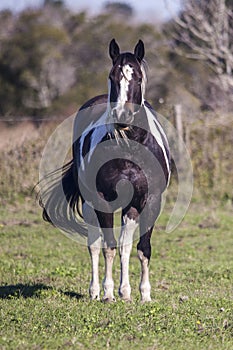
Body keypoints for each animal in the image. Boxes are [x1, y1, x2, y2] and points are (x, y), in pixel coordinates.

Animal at [38, 39, 171, 302]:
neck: (130, 148)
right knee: (95, 245)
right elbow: (108, 246)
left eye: (137, 76)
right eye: (112, 76)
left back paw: (126, 292)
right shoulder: (103, 200)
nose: (122, 115)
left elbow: (142, 249)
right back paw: (96, 291)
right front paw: (109, 292)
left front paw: (143, 295)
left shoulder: (150, 200)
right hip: (90, 204)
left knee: (126, 245)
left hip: (130, 207)